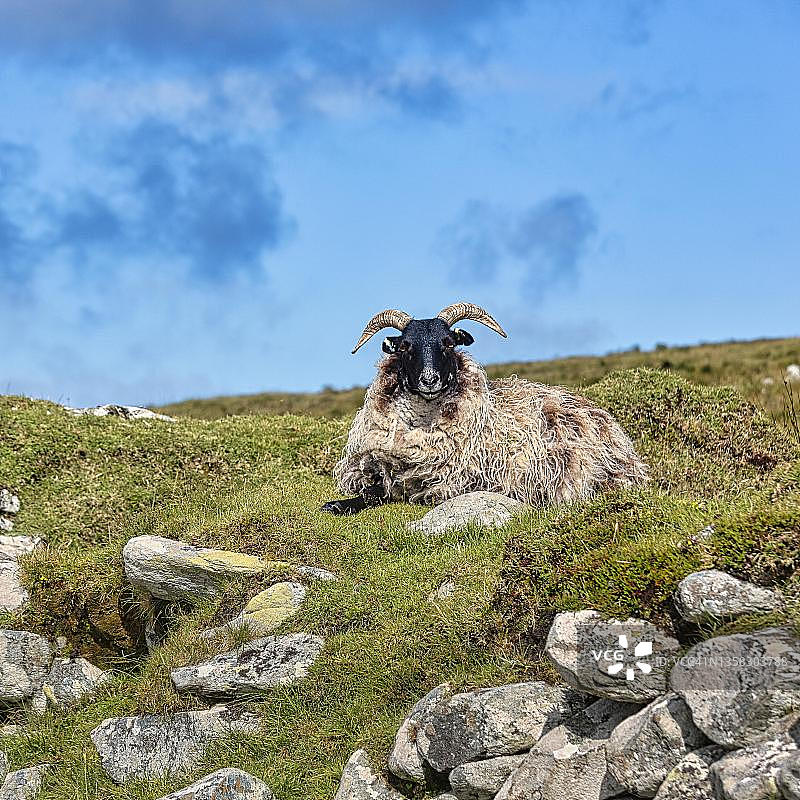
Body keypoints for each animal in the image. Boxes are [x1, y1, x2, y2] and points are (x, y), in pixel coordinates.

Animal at [322, 302, 647, 515]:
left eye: (448, 343)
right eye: (404, 347)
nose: (430, 379)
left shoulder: (447, 482)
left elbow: (391, 495)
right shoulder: (367, 468)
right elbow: (369, 490)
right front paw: (336, 504)